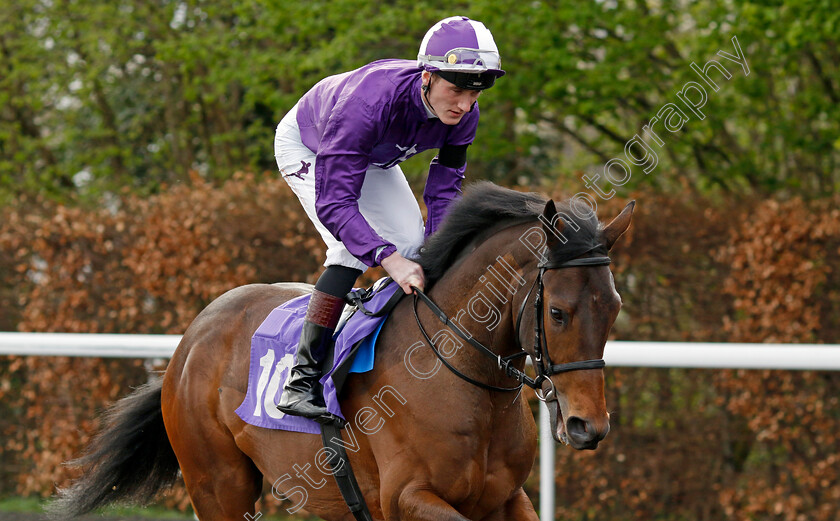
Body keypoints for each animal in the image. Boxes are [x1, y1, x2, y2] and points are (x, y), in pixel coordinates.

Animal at [50, 183, 632, 520]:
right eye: (558, 313)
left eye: (614, 308)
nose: (587, 426)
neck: (460, 378)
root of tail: (189, 342)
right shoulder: (405, 498)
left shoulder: (506, 499)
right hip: (217, 483)